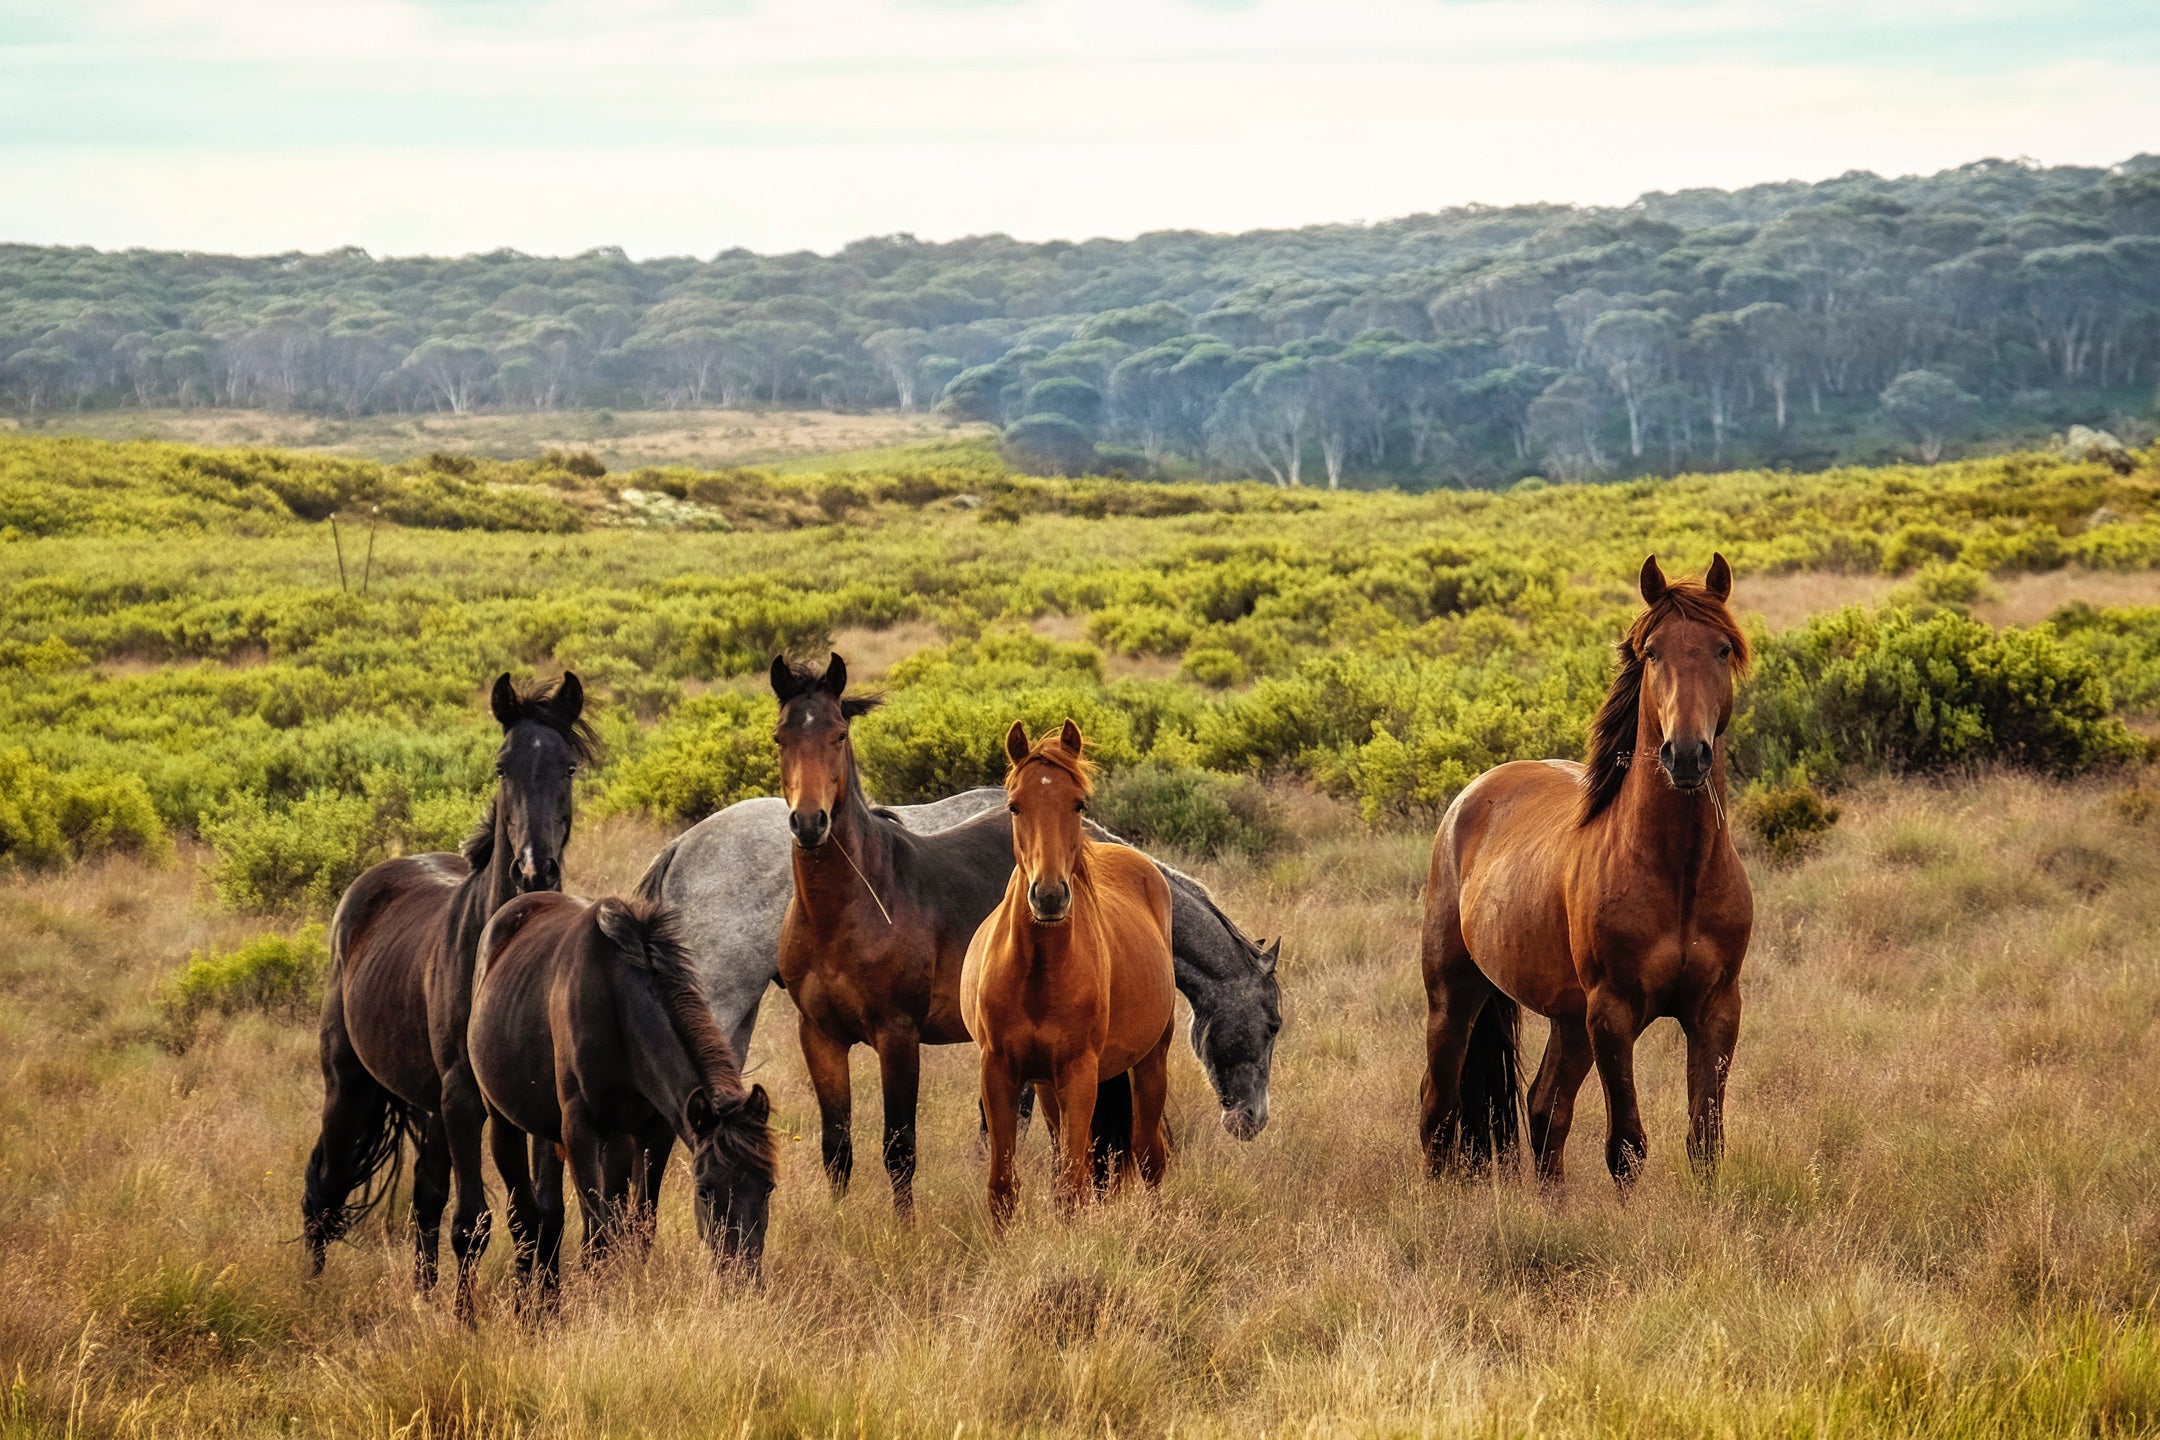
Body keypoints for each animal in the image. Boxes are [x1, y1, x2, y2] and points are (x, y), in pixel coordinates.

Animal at [302, 672, 593, 1317]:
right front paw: (468, 1323)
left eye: (568, 766)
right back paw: (309, 1292)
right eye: (502, 765)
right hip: (350, 1087)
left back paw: (421, 1294)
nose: (534, 870)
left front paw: (542, 1312)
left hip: (428, 1107)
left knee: (424, 1199)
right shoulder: (464, 1099)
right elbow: (476, 1221)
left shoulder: (532, 1105)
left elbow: (542, 1215)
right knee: (322, 1187)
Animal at [470, 893, 777, 1294]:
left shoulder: (654, 1132)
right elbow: (597, 1237)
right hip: (504, 1124)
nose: (743, 1279)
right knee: (523, 1219)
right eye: (705, 1190)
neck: (616, 1005)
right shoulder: (579, 1132)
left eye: (768, 1187)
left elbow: (638, 1227)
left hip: (586, 1137)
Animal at [963, 721, 1176, 1221]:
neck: (1038, 973)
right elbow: (1003, 1186)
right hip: (1046, 1087)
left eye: (1078, 802)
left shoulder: (1080, 1074)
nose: (1049, 896)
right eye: (1014, 805)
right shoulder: (998, 1071)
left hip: (1150, 1061)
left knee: (1148, 1155)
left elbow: (1072, 1187)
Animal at [1417, 554, 1752, 1188]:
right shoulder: (1613, 1014)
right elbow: (1626, 1146)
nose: (1686, 755)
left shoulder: (1717, 1010)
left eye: (1722, 649)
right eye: (1653, 653)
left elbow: (1705, 1141)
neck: (1677, 871)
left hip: (1569, 1020)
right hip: (1454, 996)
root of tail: (1471, 796)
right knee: (1438, 1109)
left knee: (1544, 1109)